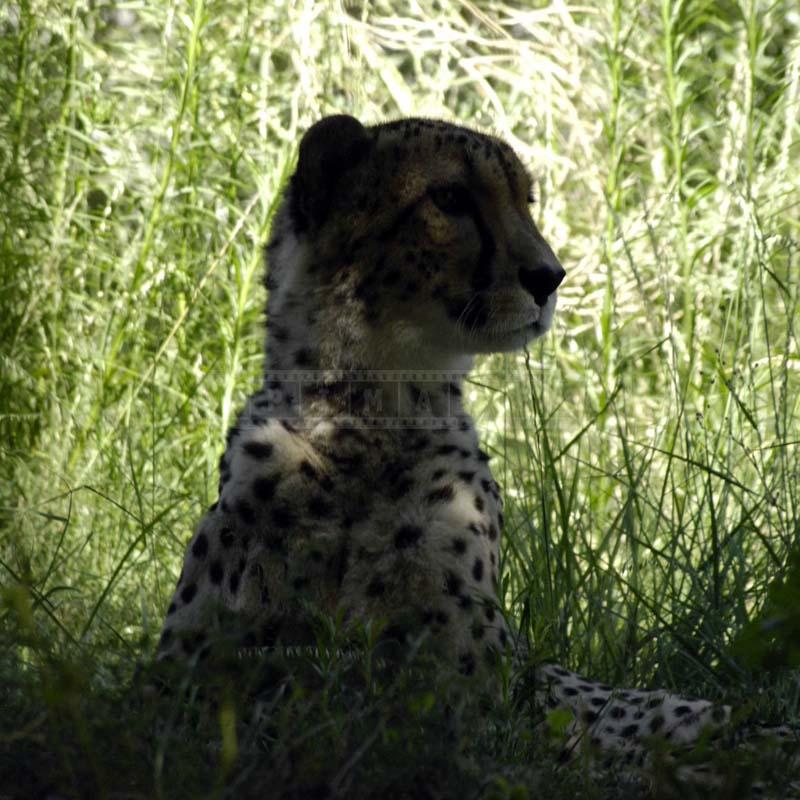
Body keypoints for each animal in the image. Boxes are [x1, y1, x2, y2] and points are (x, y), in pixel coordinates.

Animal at [156, 115, 798, 787]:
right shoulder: (188, 694)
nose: (550, 276)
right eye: (450, 198)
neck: (365, 425)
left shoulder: (479, 711)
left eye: (526, 200)